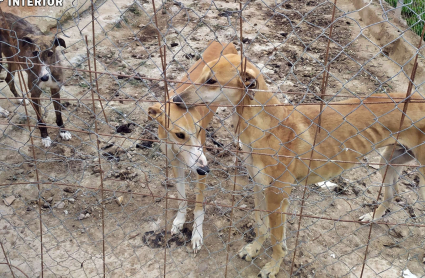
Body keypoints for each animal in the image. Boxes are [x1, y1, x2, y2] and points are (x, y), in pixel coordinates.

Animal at [147, 40, 237, 252]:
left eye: (198, 130)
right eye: (179, 134)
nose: (206, 170)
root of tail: (225, 41)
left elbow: (198, 205)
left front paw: (196, 234)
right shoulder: (174, 161)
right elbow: (181, 195)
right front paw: (179, 221)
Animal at [172, 53, 424, 276]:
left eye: (211, 81)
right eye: (201, 75)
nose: (175, 99)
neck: (267, 126)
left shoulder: (277, 196)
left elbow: (277, 240)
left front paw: (273, 267)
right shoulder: (260, 187)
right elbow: (262, 226)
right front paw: (254, 249)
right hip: (388, 162)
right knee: (392, 194)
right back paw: (372, 216)